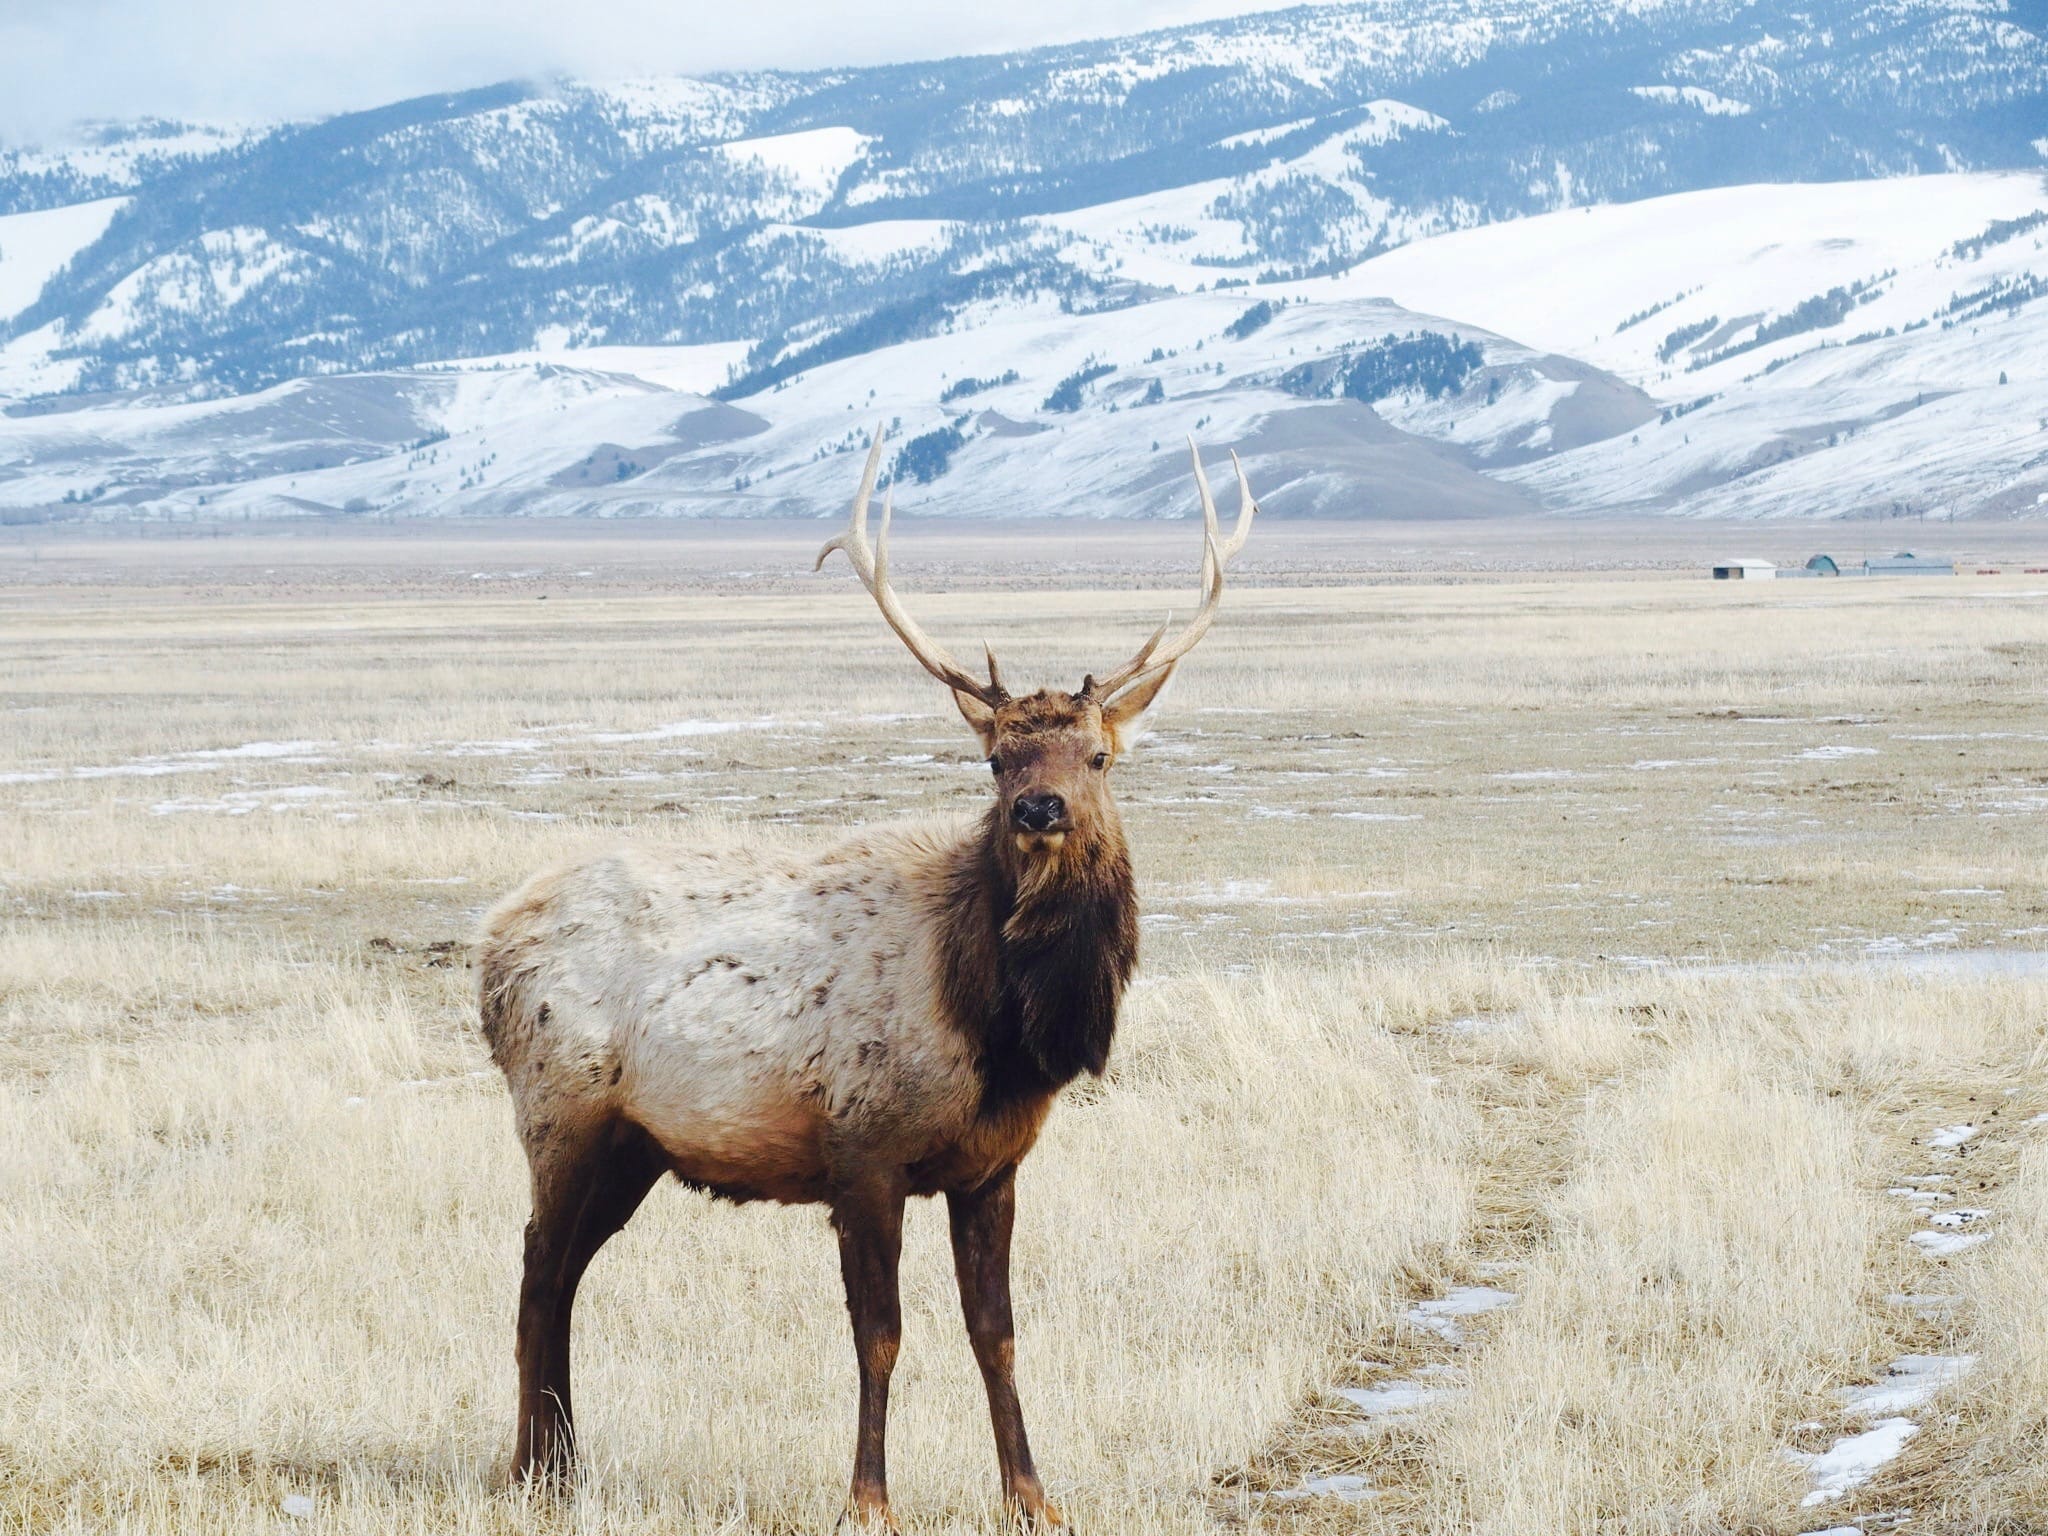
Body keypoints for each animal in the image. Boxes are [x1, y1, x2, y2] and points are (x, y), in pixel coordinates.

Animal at [477, 428, 1253, 1531]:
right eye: (996, 761)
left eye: (1098, 756)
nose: (1042, 810)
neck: (999, 1036)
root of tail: (488, 942)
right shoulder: (863, 1150)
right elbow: (878, 1333)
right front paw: (868, 1497)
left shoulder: (993, 1166)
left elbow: (995, 1332)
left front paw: (1031, 1494)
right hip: (561, 1113)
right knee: (539, 1275)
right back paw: (530, 1472)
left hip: (634, 1145)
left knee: (568, 1277)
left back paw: (565, 1466)